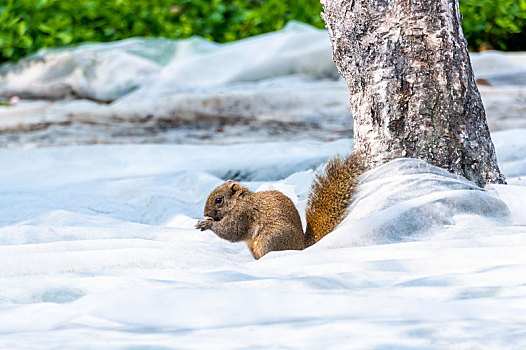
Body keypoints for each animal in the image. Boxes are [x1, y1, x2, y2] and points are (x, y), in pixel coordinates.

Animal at [195, 152, 368, 258]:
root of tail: (301, 247)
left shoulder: (243, 214)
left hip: (270, 239)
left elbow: (233, 231)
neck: (240, 201)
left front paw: (206, 224)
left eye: (219, 200)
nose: (205, 214)